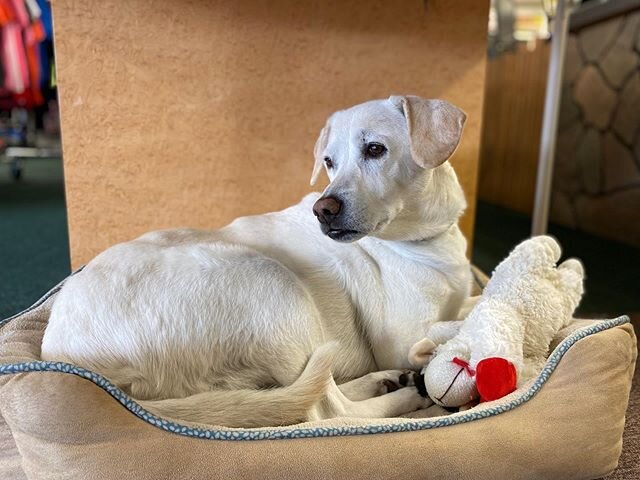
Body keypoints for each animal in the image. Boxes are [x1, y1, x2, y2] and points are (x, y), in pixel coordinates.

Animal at [40, 95, 470, 426]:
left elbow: (467, 305)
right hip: (276, 283)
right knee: (328, 409)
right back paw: (403, 395)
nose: (323, 209)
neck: (425, 239)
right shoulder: (403, 337)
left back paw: (386, 381)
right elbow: (448, 325)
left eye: (376, 149)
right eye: (329, 161)